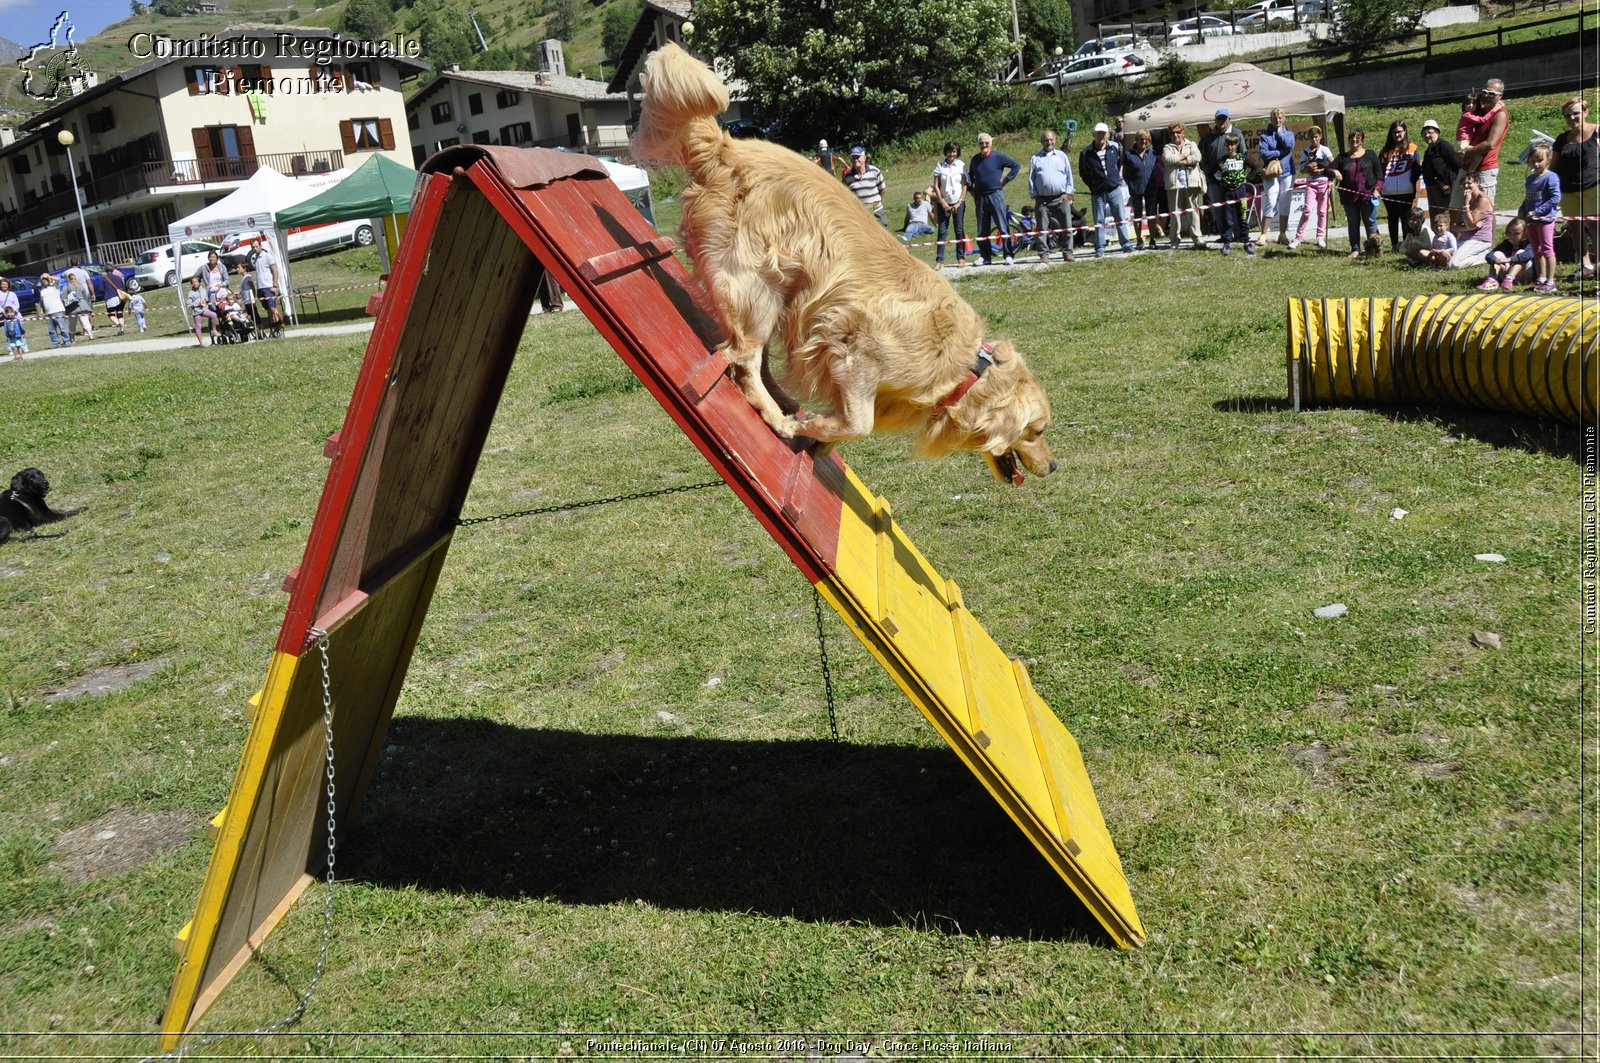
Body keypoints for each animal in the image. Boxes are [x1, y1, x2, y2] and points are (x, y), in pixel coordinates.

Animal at [630, 43, 1056, 483]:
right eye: (1037, 431)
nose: (1053, 465)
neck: (963, 364)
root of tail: (727, 147)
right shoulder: (855, 349)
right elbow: (858, 423)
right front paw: (806, 428)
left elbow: (847, 427)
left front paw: (817, 438)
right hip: (755, 288)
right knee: (744, 358)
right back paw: (776, 416)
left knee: (753, 359)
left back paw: (784, 403)